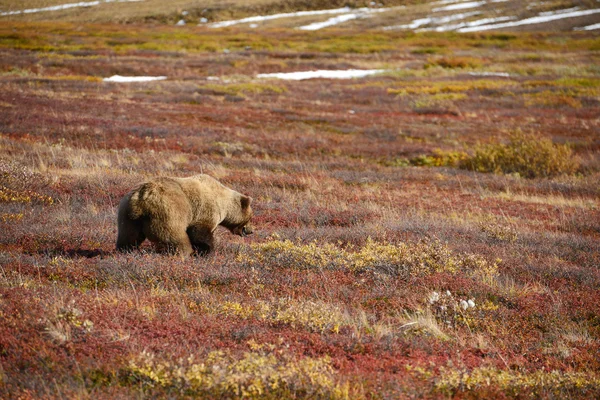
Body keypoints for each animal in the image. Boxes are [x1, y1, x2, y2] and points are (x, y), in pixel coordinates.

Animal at [116, 175, 252, 256]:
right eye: (250, 217)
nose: (250, 231)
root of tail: (142, 196)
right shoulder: (206, 210)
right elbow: (200, 233)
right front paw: (206, 251)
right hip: (169, 211)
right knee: (174, 235)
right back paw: (185, 252)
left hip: (127, 214)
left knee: (129, 235)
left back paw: (125, 250)